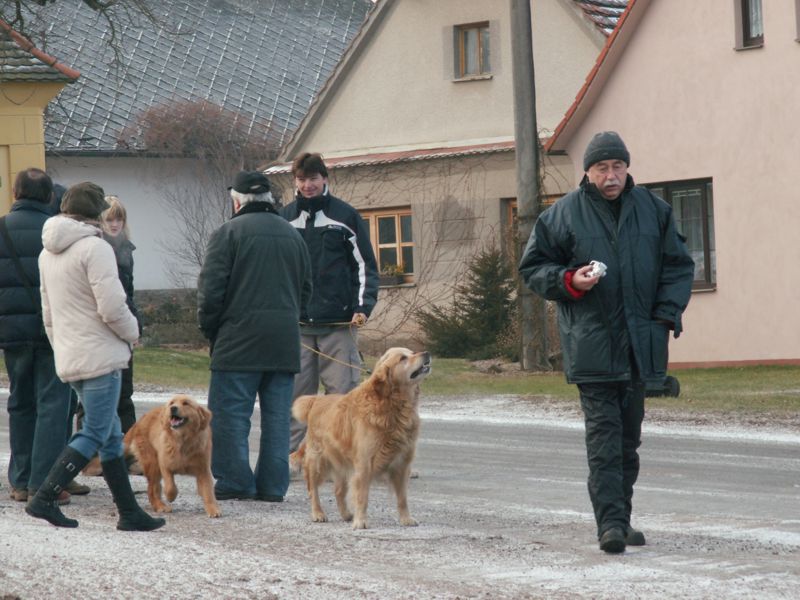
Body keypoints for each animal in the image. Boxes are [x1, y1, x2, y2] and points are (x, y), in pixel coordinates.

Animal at [292, 347, 431, 529]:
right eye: (403, 358)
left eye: (412, 352)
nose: (427, 353)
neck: (393, 406)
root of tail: (316, 400)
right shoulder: (364, 464)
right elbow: (362, 496)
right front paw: (361, 521)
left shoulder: (402, 464)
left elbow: (402, 497)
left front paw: (406, 518)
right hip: (317, 461)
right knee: (312, 489)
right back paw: (318, 513)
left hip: (342, 465)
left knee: (338, 491)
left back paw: (346, 514)